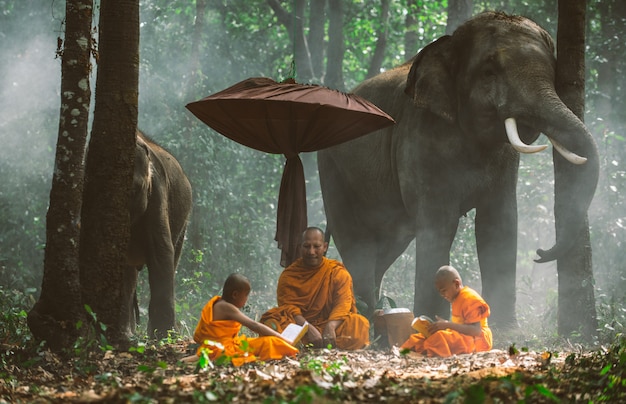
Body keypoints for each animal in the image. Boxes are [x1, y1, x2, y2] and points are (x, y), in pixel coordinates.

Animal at [122, 131, 190, 340]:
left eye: (134, 190)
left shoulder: (158, 192)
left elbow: (161, 251)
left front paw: (164, 336)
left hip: (183, 224)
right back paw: (127, 332)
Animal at [320, 12, 596, 328]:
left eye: (553, 70)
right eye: (489, 71)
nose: (540, 253)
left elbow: (498, 222)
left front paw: (505, 330)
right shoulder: (421, 138)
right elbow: (439, 224)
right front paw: (430, 322)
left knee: (388, 245)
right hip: (332, 169)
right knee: (357, 243)